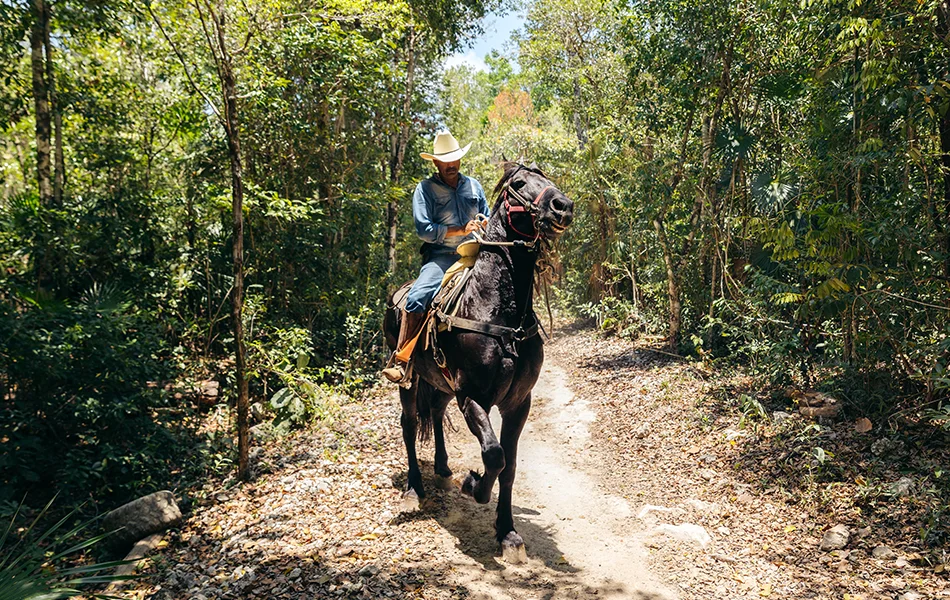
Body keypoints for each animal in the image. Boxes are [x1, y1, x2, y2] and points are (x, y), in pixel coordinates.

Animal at [384, 162, 576, 560]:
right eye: (518, 183)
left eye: (547, 178)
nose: (562, 206)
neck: (498, 312)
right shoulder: (472, 397)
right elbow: (493, 455)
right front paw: (473, 486)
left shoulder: (519, 403)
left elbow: (510, 465)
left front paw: (508, 532)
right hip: (409, 380)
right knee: (409, 425)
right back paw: (413, 490)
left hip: (439, 383)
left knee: (435, 412)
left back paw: (443, 469)